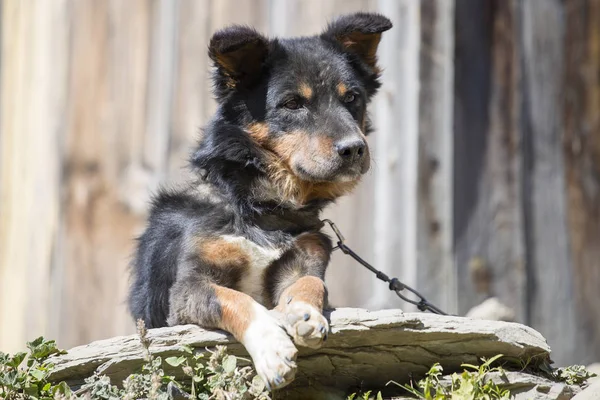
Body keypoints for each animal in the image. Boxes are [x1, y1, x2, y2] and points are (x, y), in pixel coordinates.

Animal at [128, 13, 392, 390]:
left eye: (352, 97)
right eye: (293, 104)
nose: (354, 149)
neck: (262, 207)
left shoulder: (307, 255)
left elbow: (312, 282)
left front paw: (303, 313)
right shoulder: (186, 291)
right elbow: (236, 300)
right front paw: (272, 347)